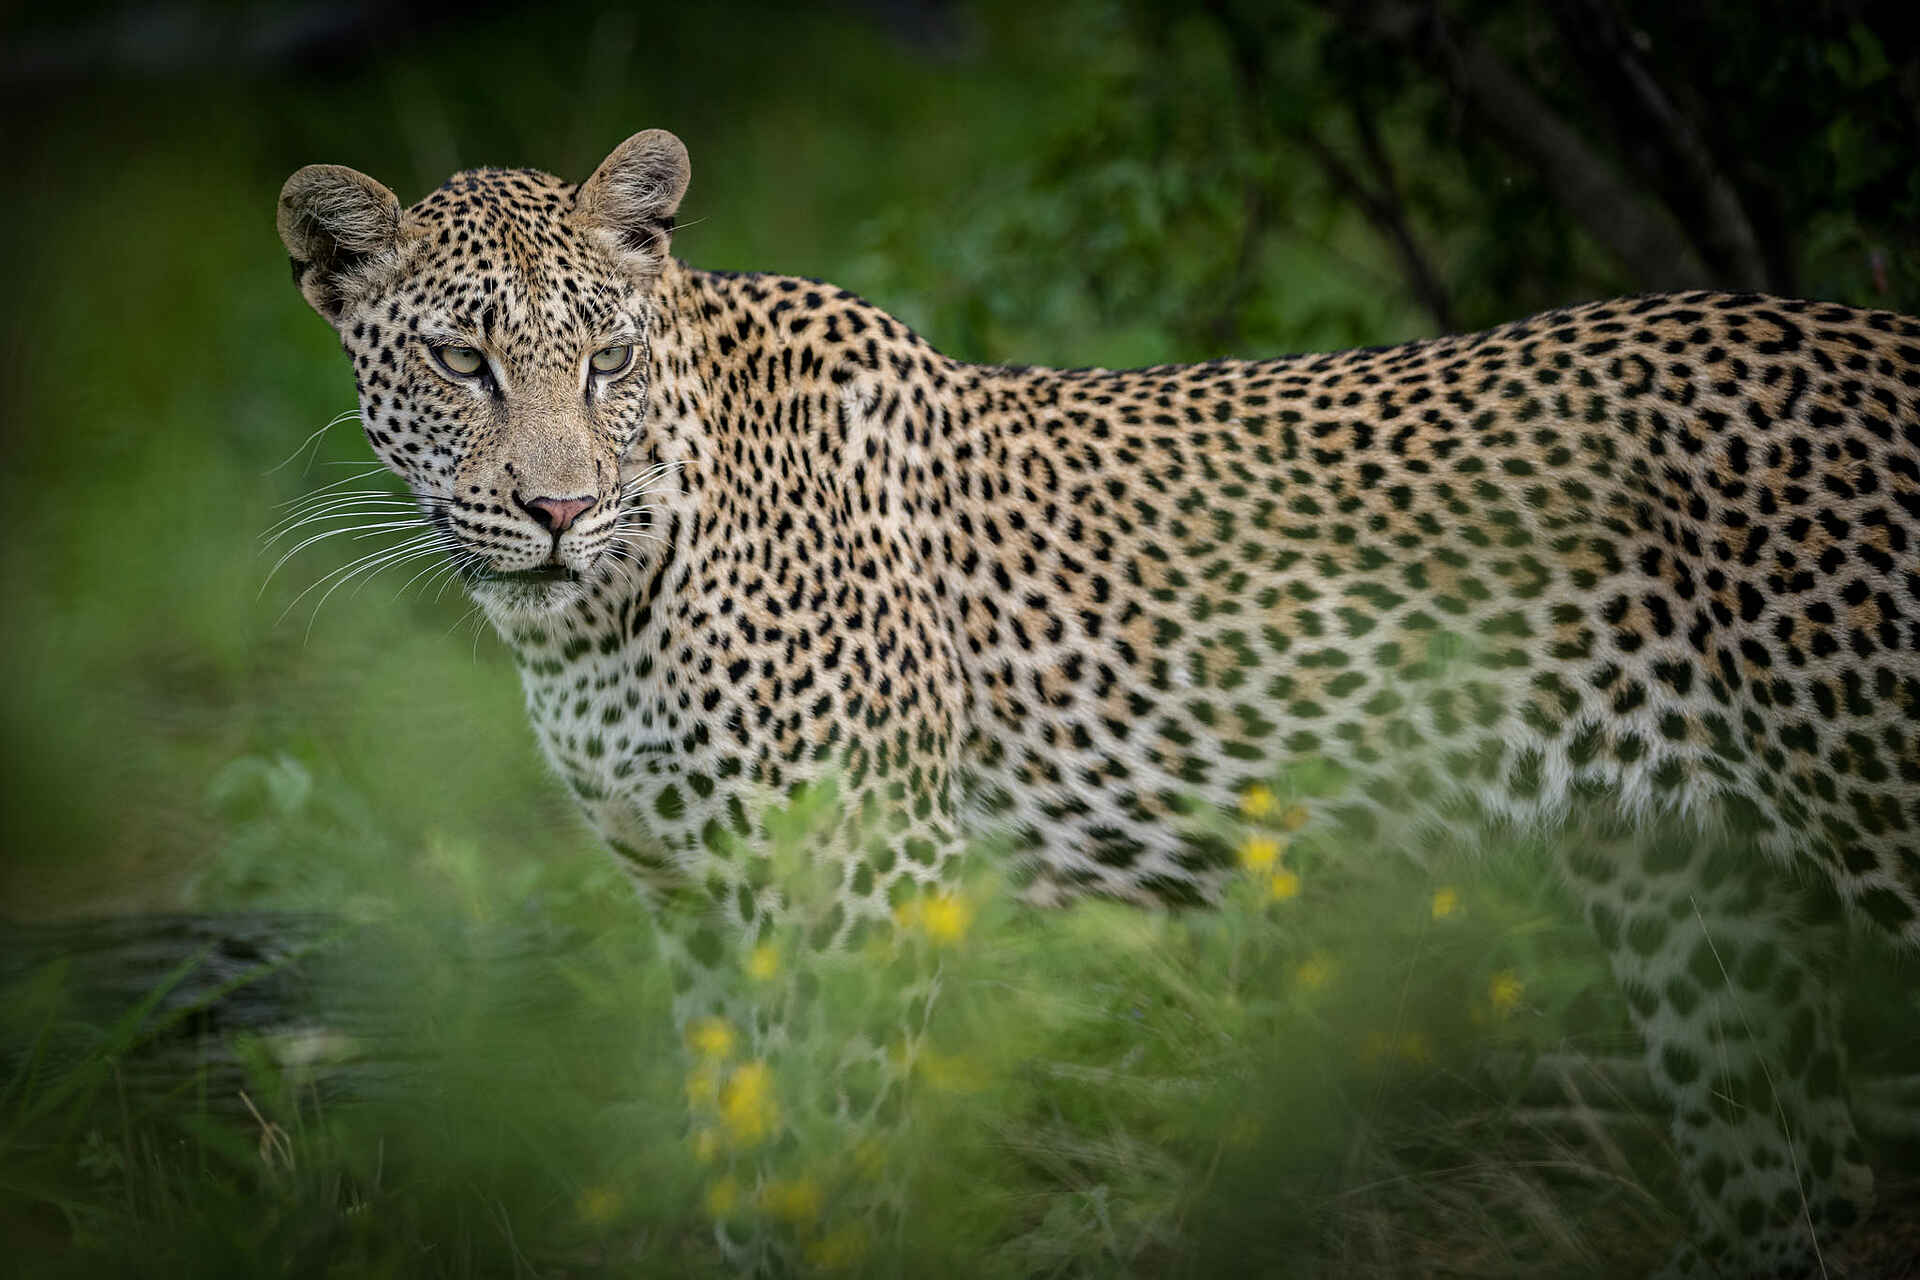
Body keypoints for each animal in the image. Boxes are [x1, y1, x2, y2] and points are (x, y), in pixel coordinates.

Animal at [276, 128, 1920, 1277]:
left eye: (606, 359)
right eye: (461, 359)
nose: (557, 509)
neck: (600, 615)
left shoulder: (863, 883)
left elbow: (834, 1160)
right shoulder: (695, 904)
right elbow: (746, 1165)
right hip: (1691, 888)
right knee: (1777, 1177)